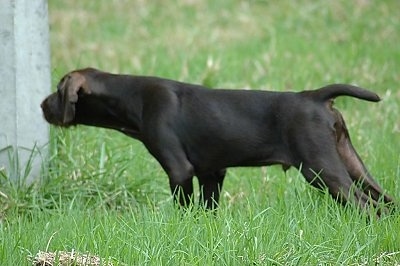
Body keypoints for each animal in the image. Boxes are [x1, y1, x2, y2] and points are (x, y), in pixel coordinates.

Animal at [41, 68, 394, 214]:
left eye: (58, 92)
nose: (42, 106)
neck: (132, 95)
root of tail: (317, 96)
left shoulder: (179, 170)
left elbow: (184, 210)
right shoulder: (212, 173)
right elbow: (206, 210)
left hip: (322, 170)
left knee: (366, 207)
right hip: (351, 162)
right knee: (385, 202)